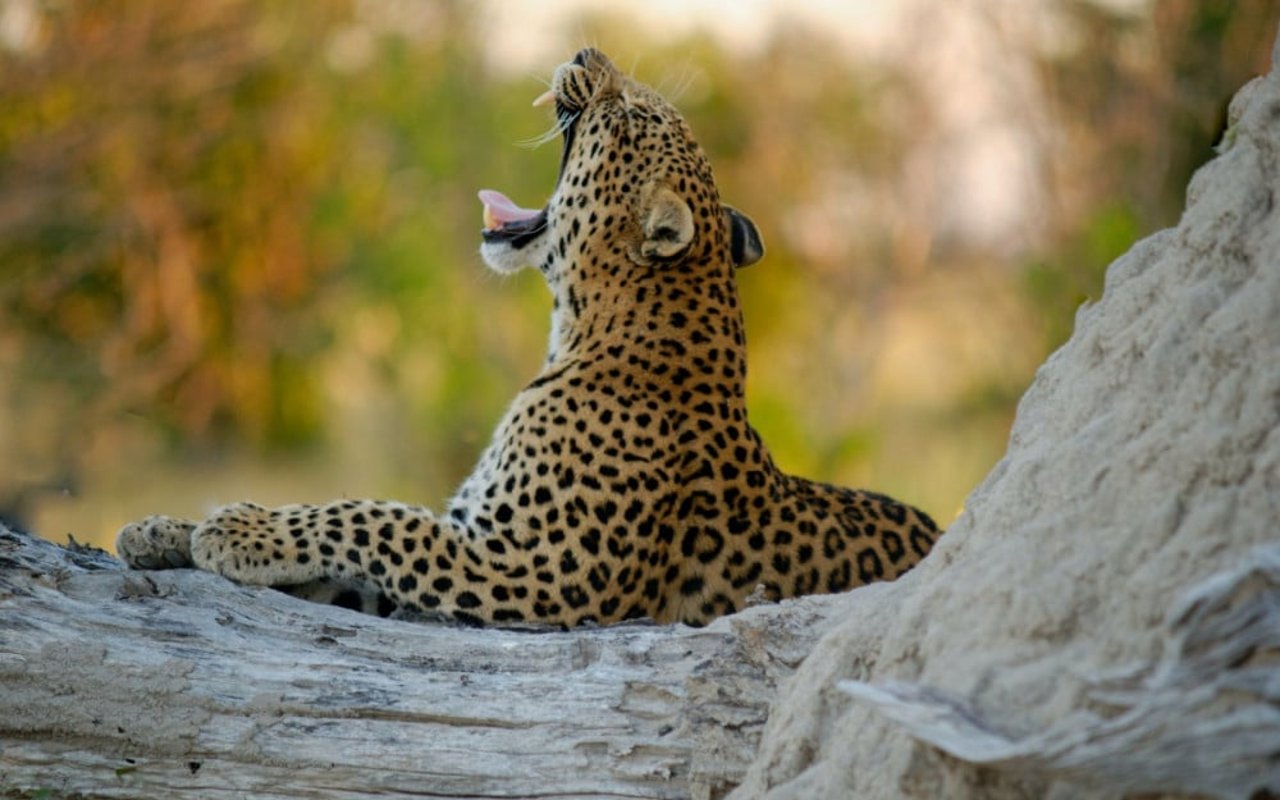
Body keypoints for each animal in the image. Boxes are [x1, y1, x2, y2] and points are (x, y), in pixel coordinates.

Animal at [115, 46, 942, 627]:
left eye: (631, 113)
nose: (586, 51)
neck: (580, 328)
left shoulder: (533, 573)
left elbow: (378, 517)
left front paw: (236, 526)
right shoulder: (468, 541)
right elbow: (352, 550)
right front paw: (164, 529)